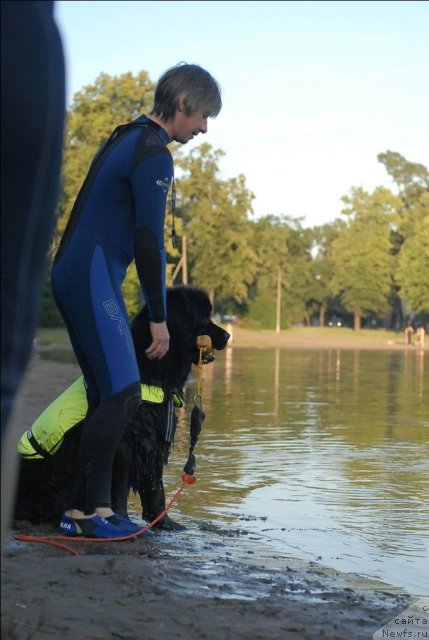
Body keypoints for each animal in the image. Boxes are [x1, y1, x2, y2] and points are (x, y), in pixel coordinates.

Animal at [13, 288, 229, 532]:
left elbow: (157, 489)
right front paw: (123, 521)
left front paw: (167, 524)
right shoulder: (125, 443)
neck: (153, 374)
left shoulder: (153, 442)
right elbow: (117, 489)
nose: (228, 336)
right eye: (204, 319)